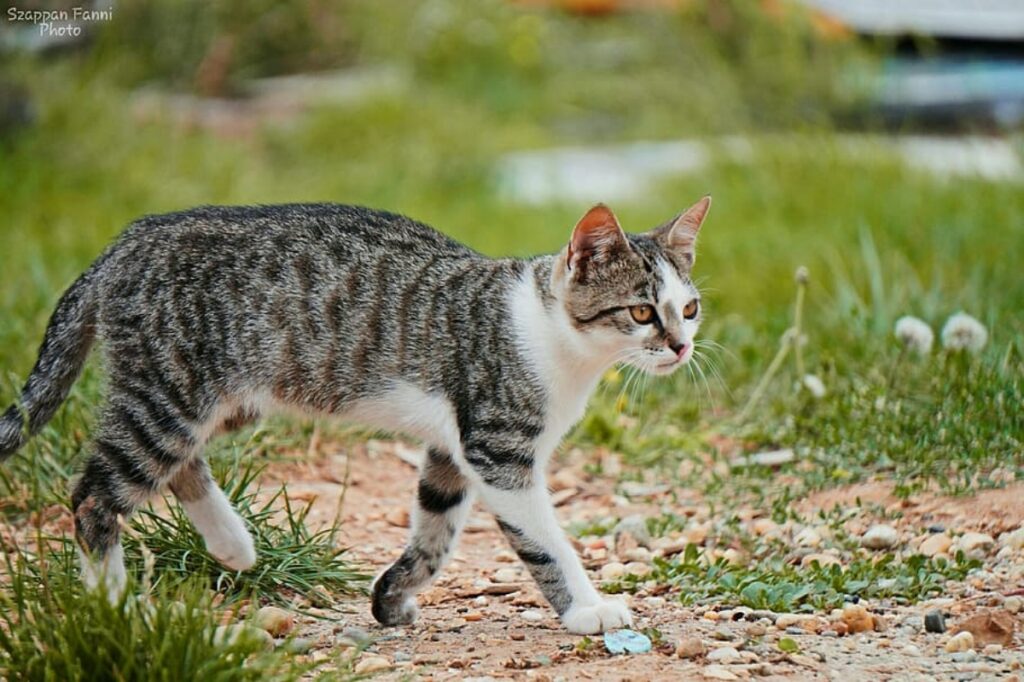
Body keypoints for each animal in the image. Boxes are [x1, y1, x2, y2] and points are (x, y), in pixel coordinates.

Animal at [0, 195, 708, 630]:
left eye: (690, 308)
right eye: (641, 312)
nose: (681, 346)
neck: (555, 337)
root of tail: (131, 238)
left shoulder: (453, 448)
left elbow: (435, 531)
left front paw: (391, 597)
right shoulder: (500, 450)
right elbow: (545, 541)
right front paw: (587, 609)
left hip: (222, 398)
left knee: (178, 462)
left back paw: (231, 543)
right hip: (171, 389)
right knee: (96, 494)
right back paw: (116, 605)